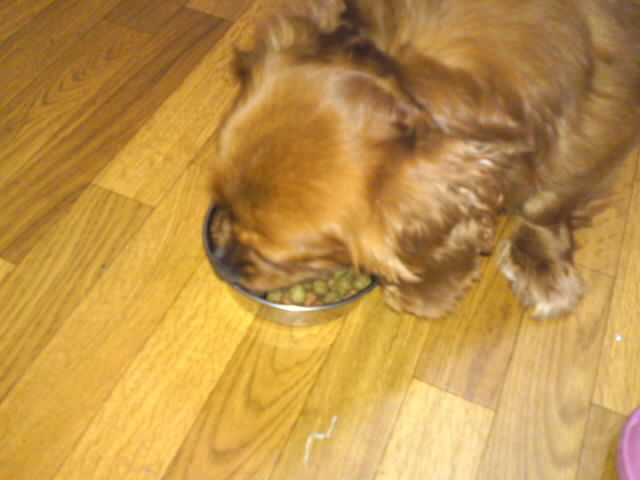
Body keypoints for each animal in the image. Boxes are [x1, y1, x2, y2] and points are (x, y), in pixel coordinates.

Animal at [210, 0, 640, 319]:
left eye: (280, 256)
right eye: (223, 205)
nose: (223, 265)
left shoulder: (594, 130)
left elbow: (546, 204)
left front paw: (541, 266)